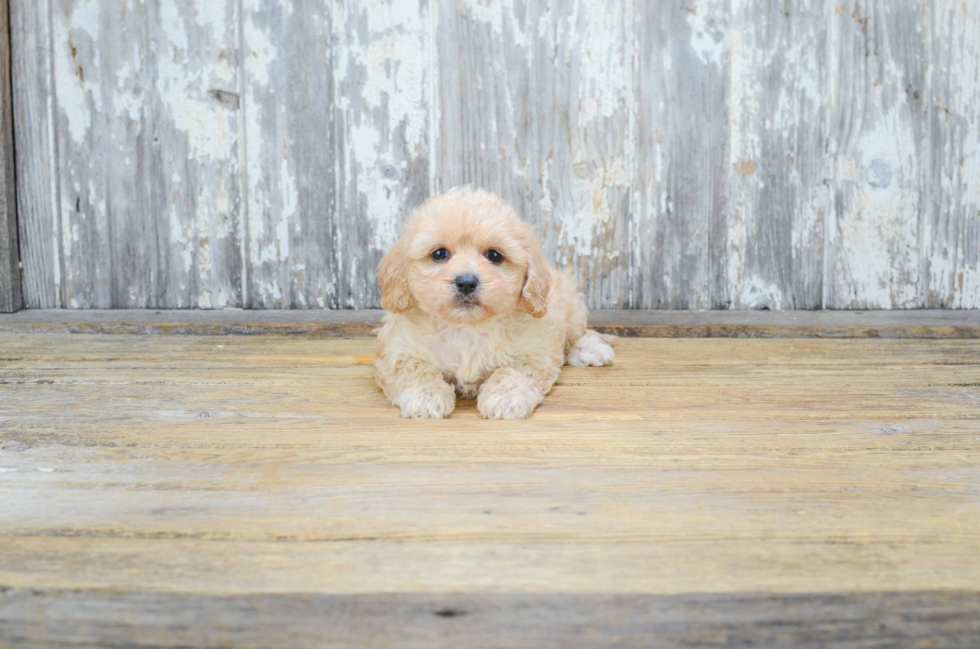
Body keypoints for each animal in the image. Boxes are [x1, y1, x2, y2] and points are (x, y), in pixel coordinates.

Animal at [376, 187, 612, 420]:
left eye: (495, 255)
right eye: (439, 253)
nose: (466, 282)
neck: (467, 327)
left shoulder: (532, 352)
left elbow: (514, 371)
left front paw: (505, 399)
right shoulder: (399, 350)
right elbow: (415, 368)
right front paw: (425, 397)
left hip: (569, 305)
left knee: (577, 334)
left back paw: (591, 350)